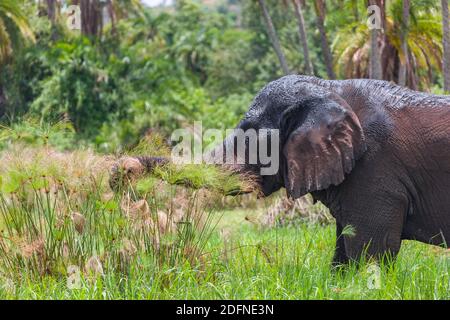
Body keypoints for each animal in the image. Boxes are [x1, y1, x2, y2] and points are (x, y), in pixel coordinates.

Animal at [111, 76, 450, 266]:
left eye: (249, 131)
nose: (122, 170)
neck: (330, 89)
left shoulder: (376, 170)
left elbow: (372, 252)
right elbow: (344, 252)